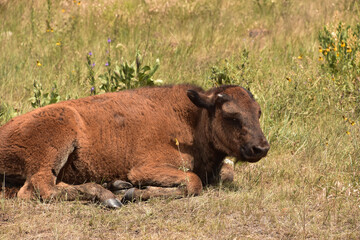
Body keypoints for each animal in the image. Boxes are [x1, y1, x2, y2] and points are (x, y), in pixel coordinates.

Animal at [0, 85, 268, 207]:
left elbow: (227, 172)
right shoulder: (145, 168)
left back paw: (112, 187)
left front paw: (126, 189)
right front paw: (135, 193)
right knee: (40, 189)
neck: (194, 118)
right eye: (231, 116)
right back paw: (109, 196)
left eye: (258, 112)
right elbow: (193, 182)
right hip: (56, 144)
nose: (261, 148)